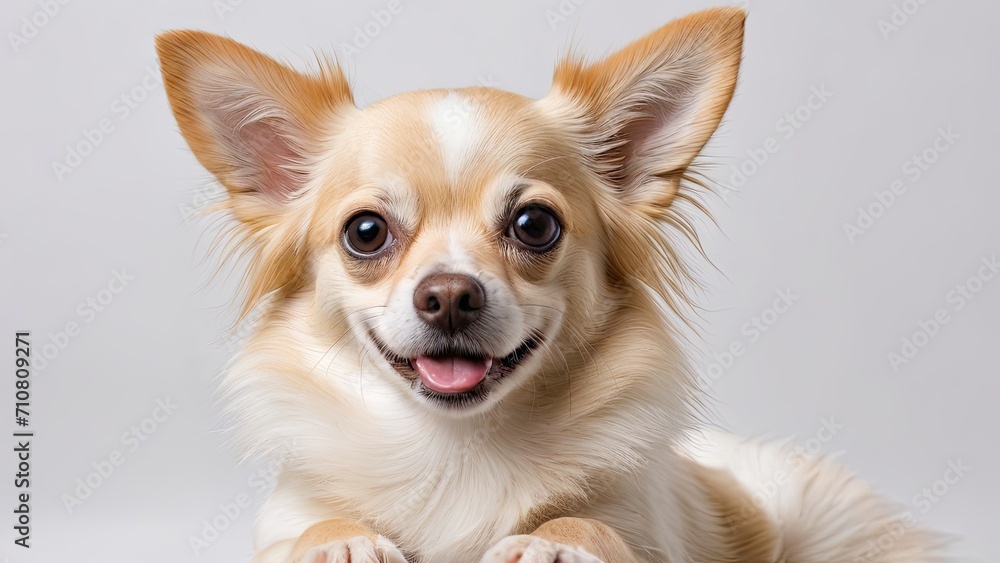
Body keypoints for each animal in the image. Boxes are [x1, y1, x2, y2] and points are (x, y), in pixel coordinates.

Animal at [156, 8, 944, 563]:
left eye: (534, 225)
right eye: (366, 232)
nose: (449, 294)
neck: (458, 449)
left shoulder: (640, 519)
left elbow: (591, 523)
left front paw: (551, 539)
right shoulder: (284, 516)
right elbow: (309, 526)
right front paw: (339, 539)